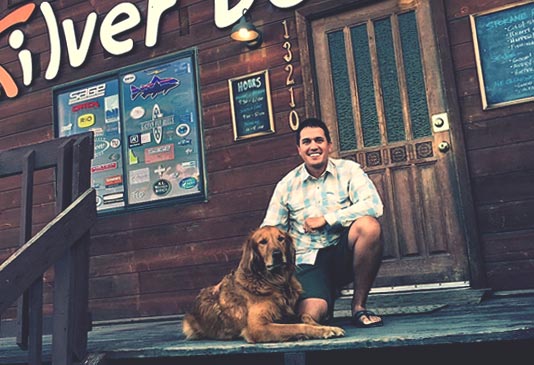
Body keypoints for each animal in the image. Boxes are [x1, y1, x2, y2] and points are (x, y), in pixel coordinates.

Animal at [182, 225, 346, 342]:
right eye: (263, 242)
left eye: (281, 239)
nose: (277, 254)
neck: (276, 282)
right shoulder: (257, 327)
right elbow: (298, 326)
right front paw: (321, 330)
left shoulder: (286, 314)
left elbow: (305, 316)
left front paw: (325, 326)